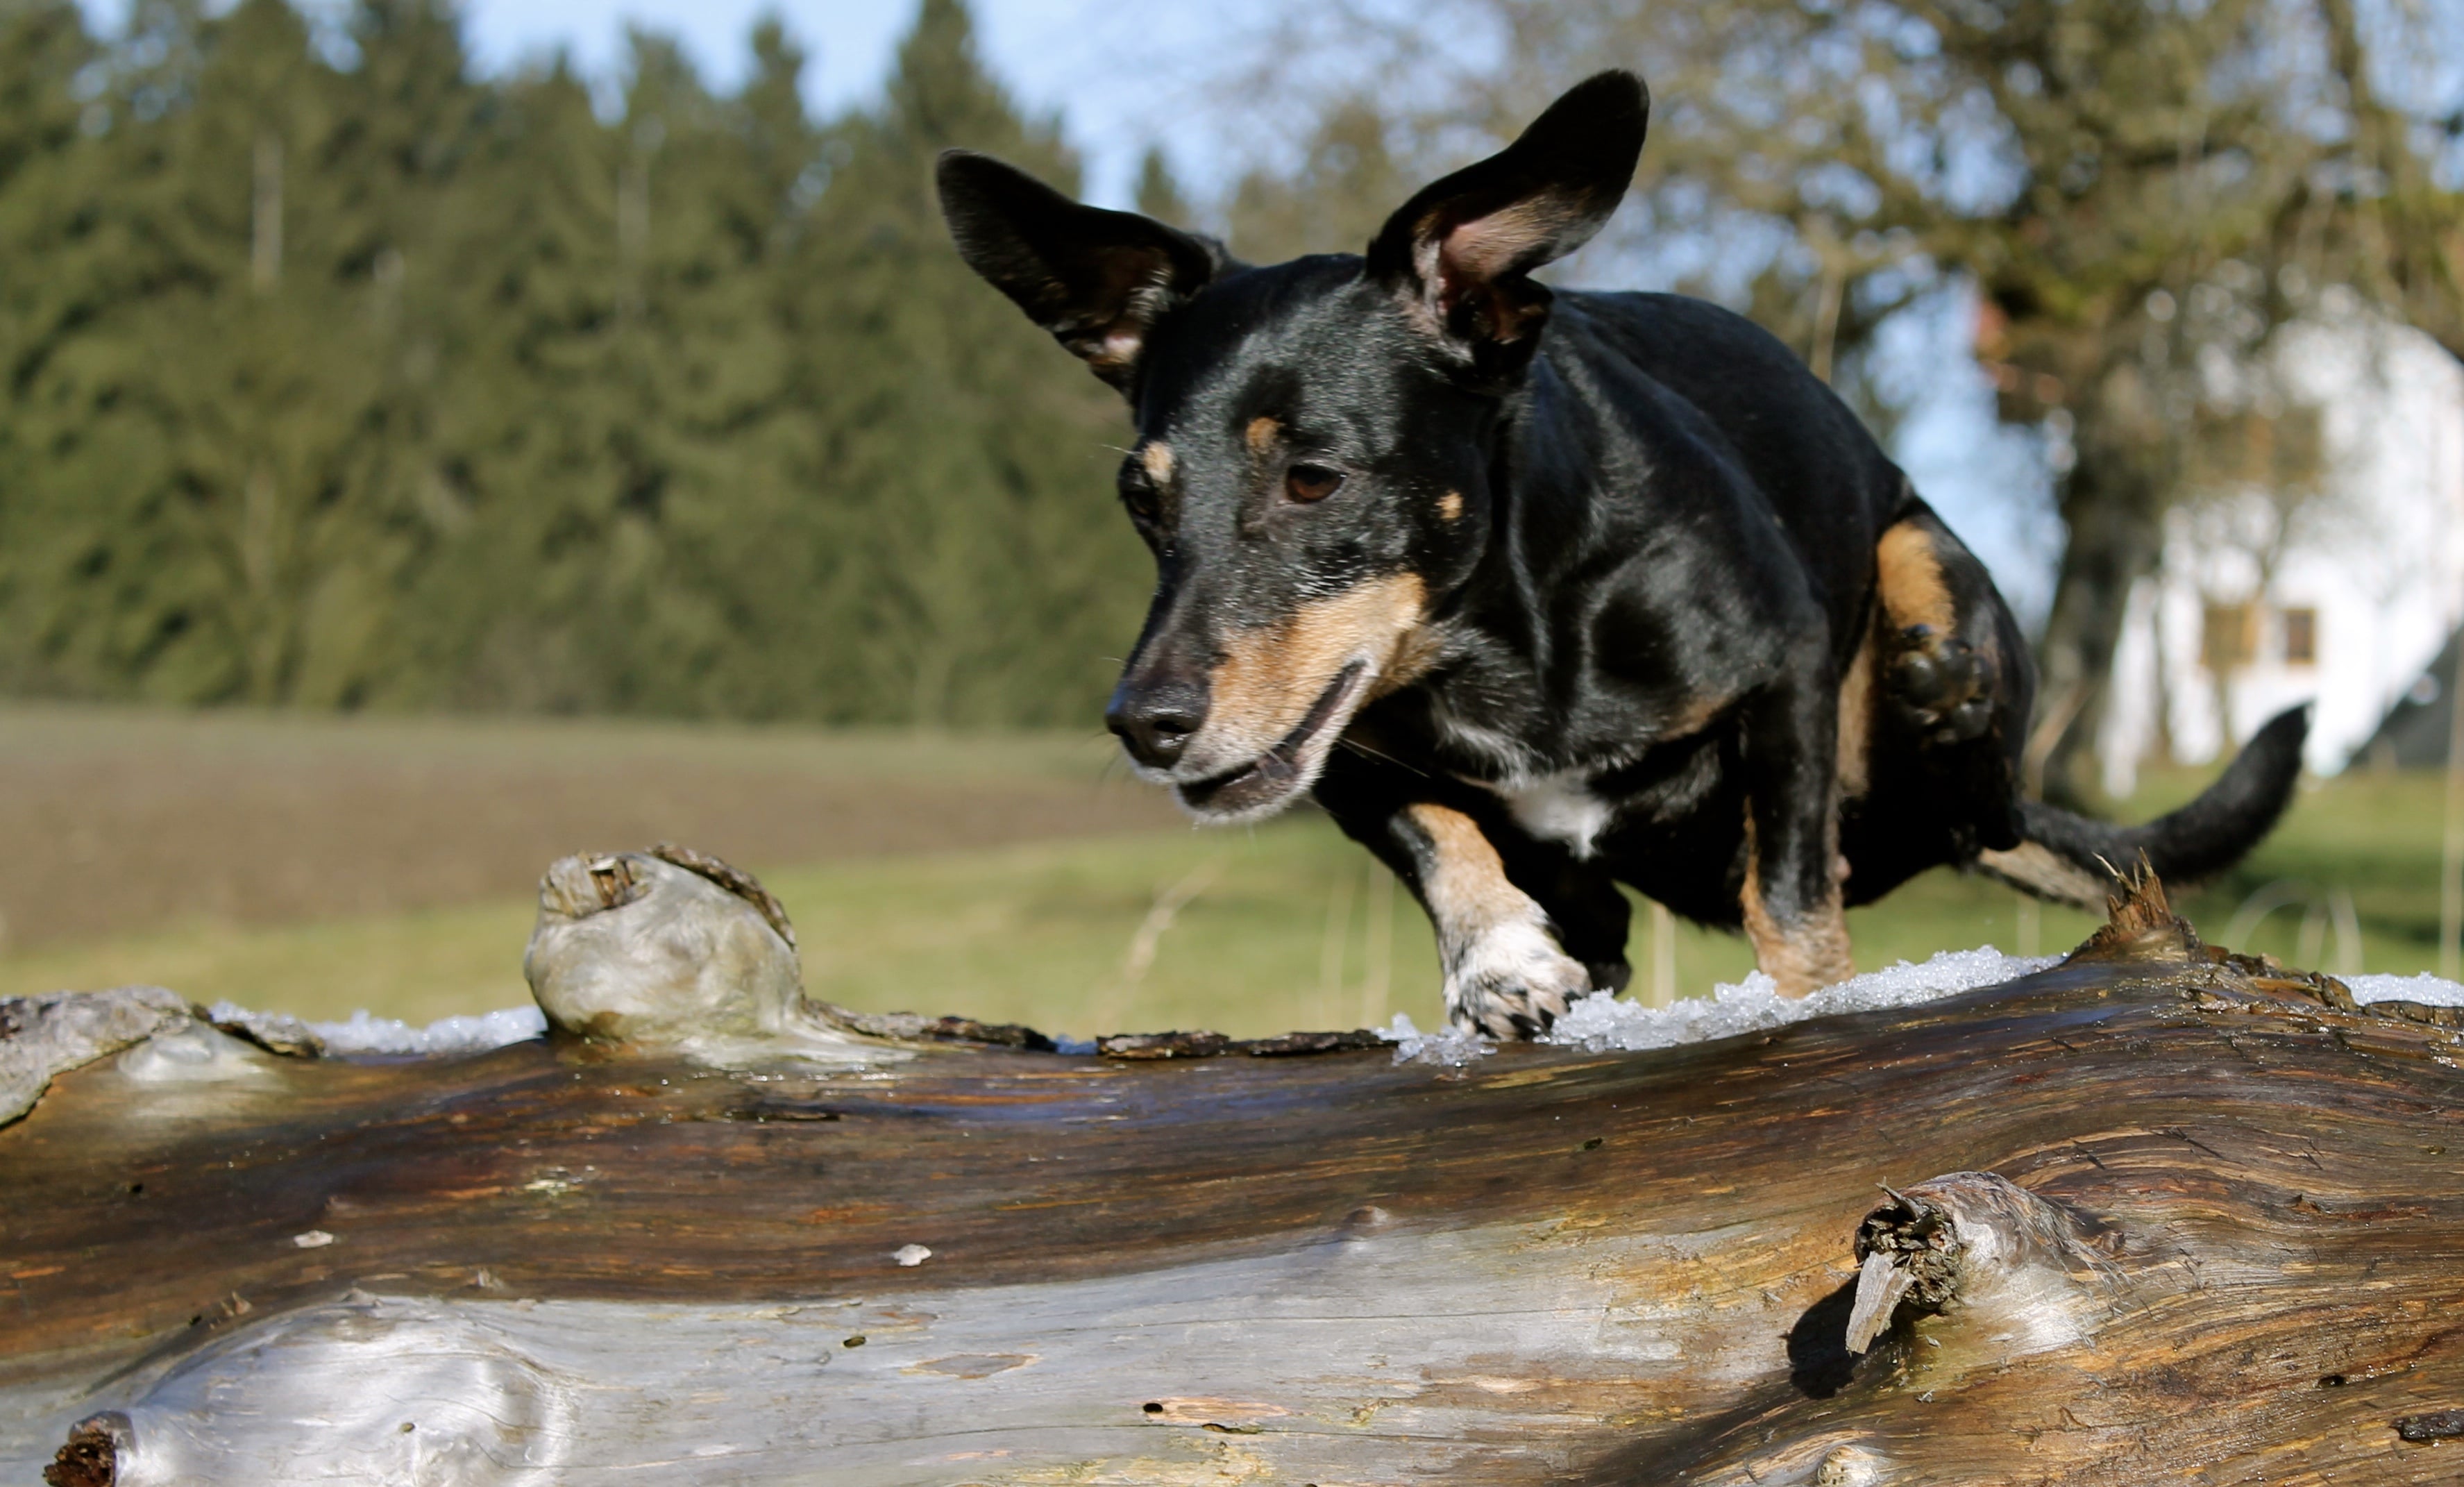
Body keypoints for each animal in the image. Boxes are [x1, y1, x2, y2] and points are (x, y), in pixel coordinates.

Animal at [936, 69, 2306, 1035]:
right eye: (1141, 499)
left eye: (1312, 477)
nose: (1143, 724)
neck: (1501, 643)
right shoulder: (1346, 760)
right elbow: (1436, 831)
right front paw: (1498, 961)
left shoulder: (1785, 668)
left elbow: (1792, 903)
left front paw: (1813, 1006)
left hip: (1927, 570)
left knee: (1961, 736)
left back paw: (1938, 685)